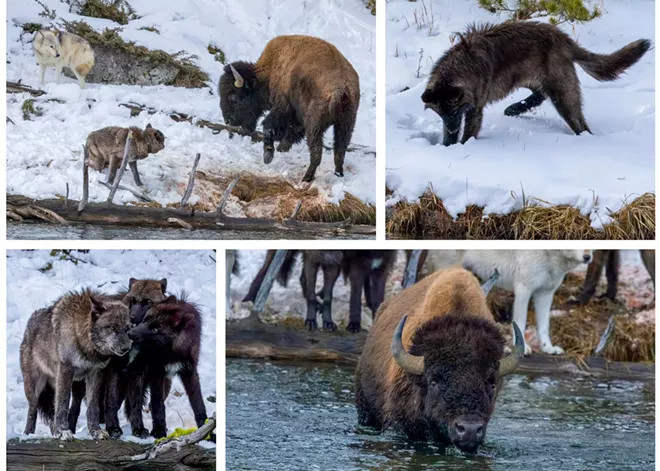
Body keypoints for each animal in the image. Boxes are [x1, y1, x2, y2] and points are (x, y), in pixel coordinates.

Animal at [19, 290, 131, 440]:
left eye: (127, 328)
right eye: (113, 328)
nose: (126, 348)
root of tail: (29, 324)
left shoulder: (96, 373)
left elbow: (93, 405)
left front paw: (95, 431)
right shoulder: (66, 370)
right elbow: (64, 403)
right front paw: (63, 431)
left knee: (52, 410)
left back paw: (54, 433)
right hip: (35, 387)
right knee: (33, 409)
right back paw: (28, 434)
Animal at [219, 34, 358, 183]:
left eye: (234, 96)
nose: (228, 120)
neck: (270, 70)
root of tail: (342, 89)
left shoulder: (283, 106)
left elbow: (269, 126)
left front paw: (268, 155)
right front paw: (281, 148)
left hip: (315, 126)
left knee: (316, 152)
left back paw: (306, 178)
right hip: (345, 125)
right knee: (340, 151)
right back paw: (338, 174)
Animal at [420, 21, 652, 146]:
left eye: (454, 111)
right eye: (441, 114)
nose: (451, 130)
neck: (460, 68)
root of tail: (562, 37)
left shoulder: (474, 109)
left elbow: (469, 134)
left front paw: (461, 146)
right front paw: (447, 146)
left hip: (563, 97)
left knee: (581, 125)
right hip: (532, 80)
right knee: (539, 95)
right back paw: (514, 108)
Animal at [422, 249, 592, 356]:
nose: (587, 257)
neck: (549, 254)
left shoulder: (546, 292)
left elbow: (544, 324)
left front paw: (548, 348)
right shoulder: (523, 288)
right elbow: (520, 320)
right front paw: (524, 348)